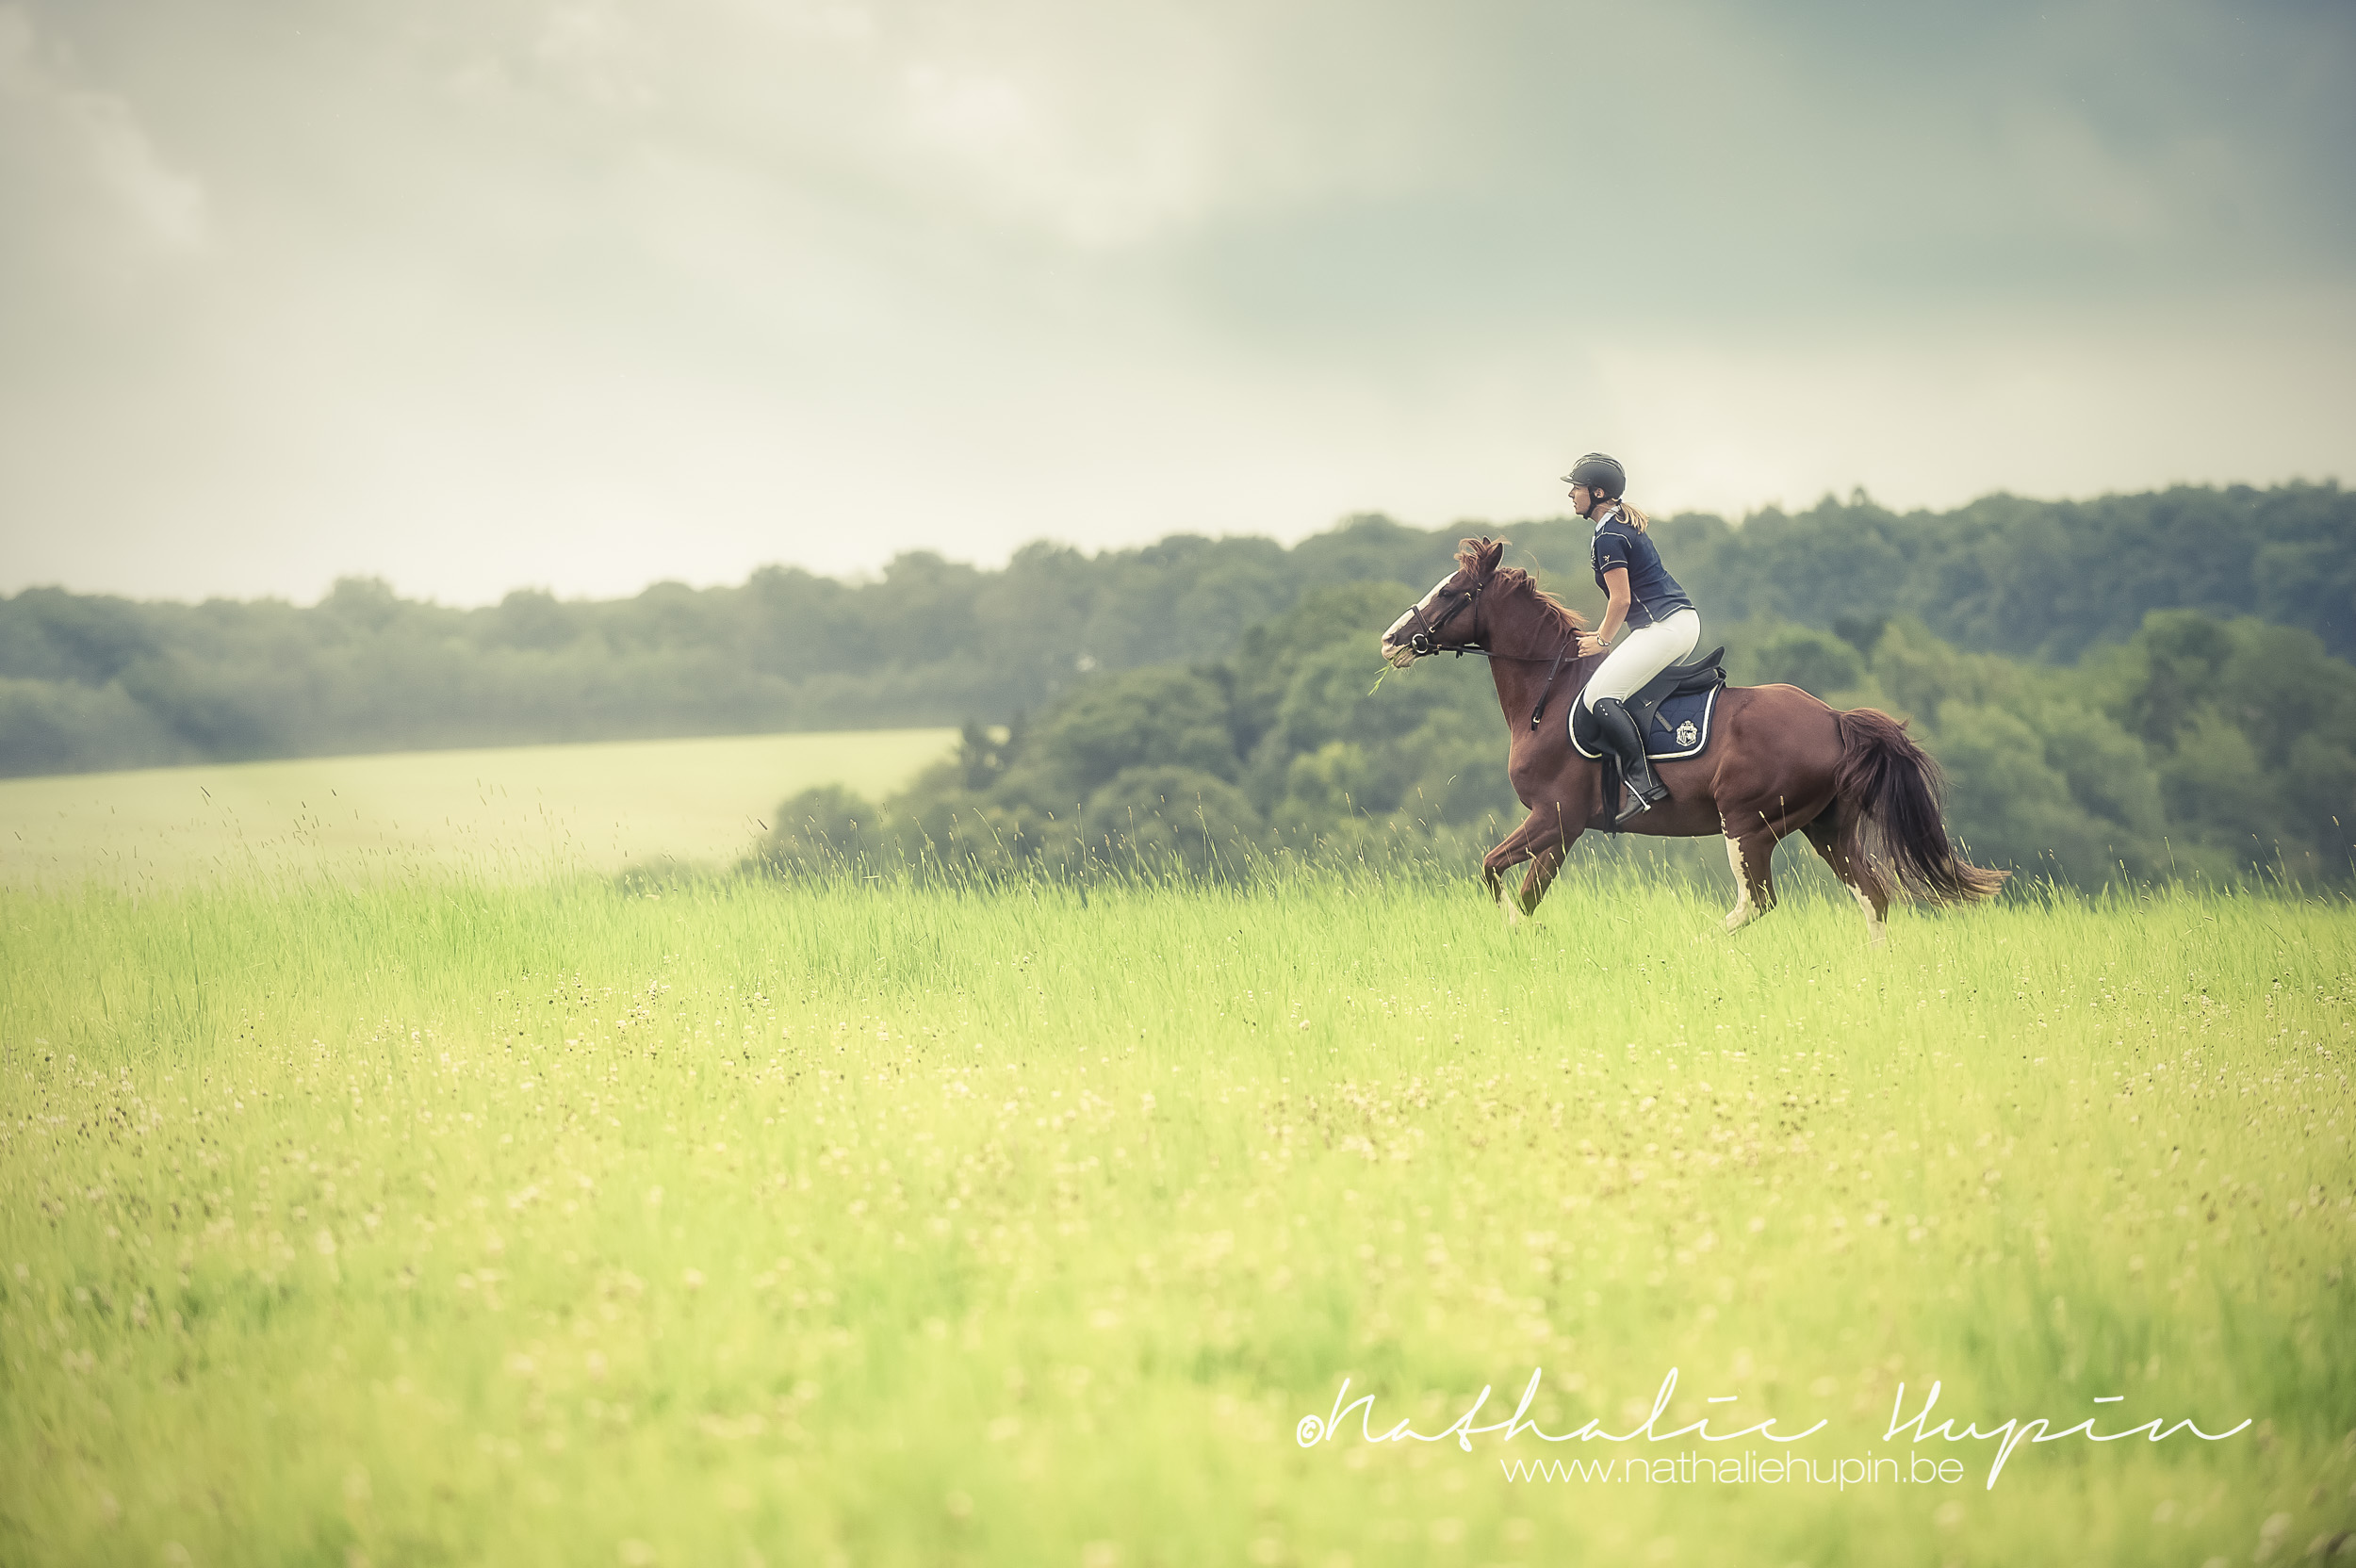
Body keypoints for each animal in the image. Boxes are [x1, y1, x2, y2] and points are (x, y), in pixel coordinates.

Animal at [1376, 536, 2007, 941]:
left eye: (1450, 591)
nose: (1390, 640)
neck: (1547, 692)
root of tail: (1833, 717)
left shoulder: (1556, 816)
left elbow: (1499, 877)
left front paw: (1510, 932)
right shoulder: (1560, 827)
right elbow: (1514, 885)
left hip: (1748, 824)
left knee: (1756, 902)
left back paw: (1698, 942)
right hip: (1826, 828)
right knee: (1872, 896)